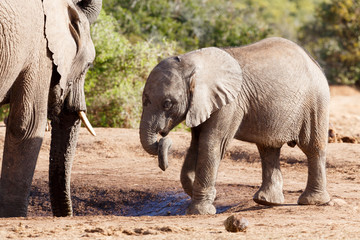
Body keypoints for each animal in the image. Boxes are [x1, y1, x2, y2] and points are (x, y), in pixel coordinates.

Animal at [139, 38, 330, 216]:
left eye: (167, 103)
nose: (163, 137)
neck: (194, 62)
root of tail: (314, 61)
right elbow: (196, 144)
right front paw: (204, 194)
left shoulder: (230, 102)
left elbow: (211, 144)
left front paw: (201, 211)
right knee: (268, 149)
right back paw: (266, 202)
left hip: (315, 102)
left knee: (312, 148)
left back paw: (312, 202)